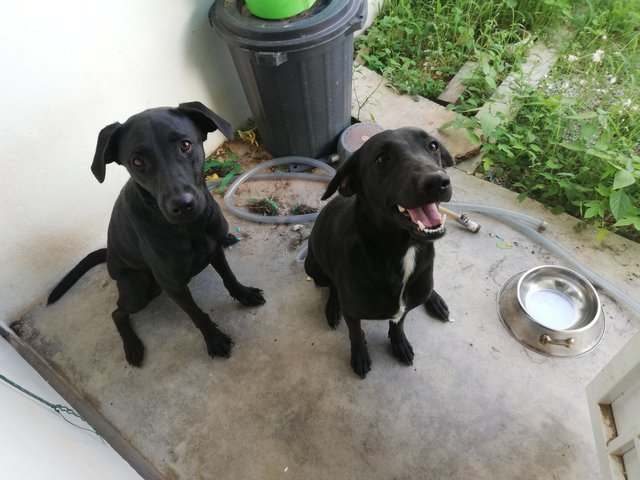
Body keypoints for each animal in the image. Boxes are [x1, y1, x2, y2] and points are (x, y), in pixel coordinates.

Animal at [48, 100, 264, 364]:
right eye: (138, 161)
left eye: (185, 145)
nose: (182, 205)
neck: (190, 228)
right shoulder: (173, 286)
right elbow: (197, 314)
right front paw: (213, 338)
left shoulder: (214, 251)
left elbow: (229, 277)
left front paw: (244, 294)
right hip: (140, 289)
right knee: (117, 313)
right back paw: (132, 346)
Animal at [304, 126, 450, 378]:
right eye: (382, 158)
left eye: (433, 146)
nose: (438, 181)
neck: (404, 250)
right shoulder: (353, 314)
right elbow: (356, 334)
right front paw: (360, 355)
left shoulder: (405, 307)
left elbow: (398, 324)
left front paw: (399, 343)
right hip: (312, 266)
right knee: (332, 285)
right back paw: (333, 307)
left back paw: (435, 299)